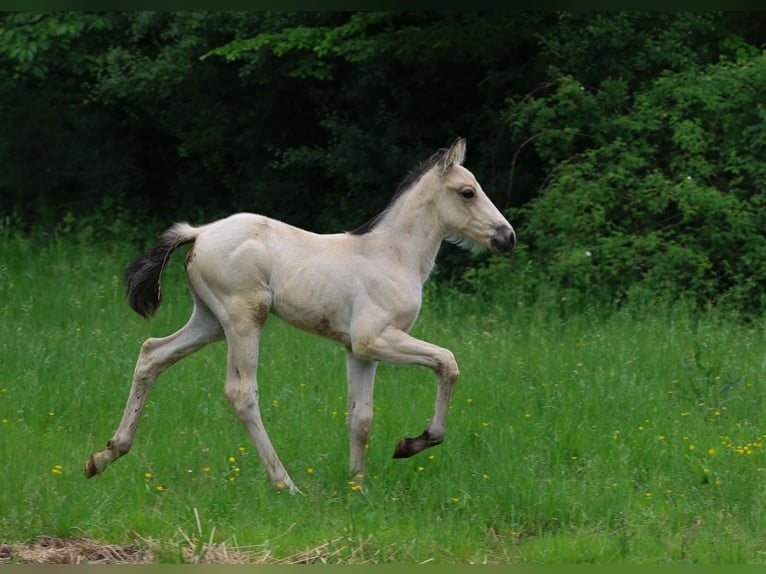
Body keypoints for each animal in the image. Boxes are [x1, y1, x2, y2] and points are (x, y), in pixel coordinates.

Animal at [85, 137, 516, 492]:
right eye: (468, 192)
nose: (506, 237)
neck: (393, 255)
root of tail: (200, 232)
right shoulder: (375, 338)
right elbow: (447, 362)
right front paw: (413, 443)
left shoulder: (359, 351)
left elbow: (360, 418)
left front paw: (357, 487)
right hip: (244, 317)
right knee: (241, 392)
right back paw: (286, 484)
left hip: (209, 320)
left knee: (152, 353)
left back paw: (104, 456)